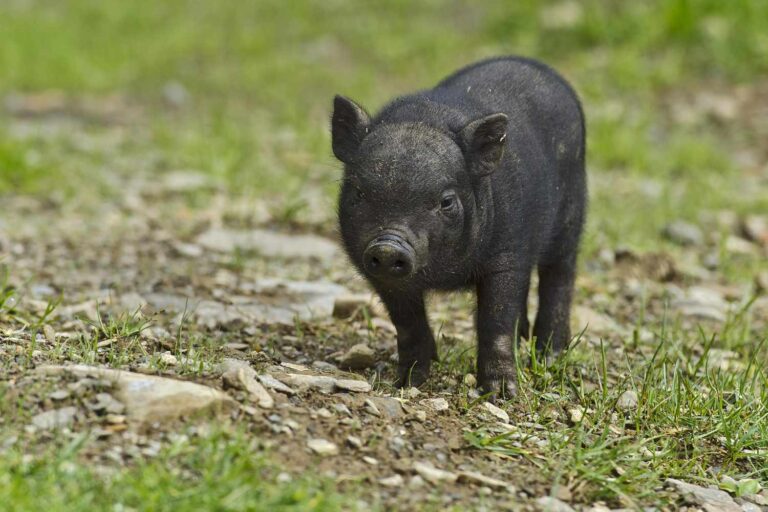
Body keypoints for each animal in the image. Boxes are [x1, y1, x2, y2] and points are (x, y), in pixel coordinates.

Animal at [331, 56, 586, 398]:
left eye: (446, 201)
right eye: (358, 192)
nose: (388, 246)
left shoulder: (507, 253)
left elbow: (496, 320)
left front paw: (501, 393)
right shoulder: (379, 274)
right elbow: (407, 324)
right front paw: (407, 382)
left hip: (571, 218)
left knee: (559, 277)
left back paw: (550, 355)